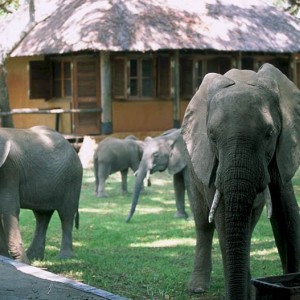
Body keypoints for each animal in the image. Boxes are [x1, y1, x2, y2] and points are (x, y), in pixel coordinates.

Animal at [0, 125, 82, 264]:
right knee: (42, 216)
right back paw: (35, 257)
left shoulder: (9, 170)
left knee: (66, 215)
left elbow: (8, 209)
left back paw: (63, 257)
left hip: (72, 178)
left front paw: (22, 263)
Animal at [180, 62, 300, 298]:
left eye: (269, 134)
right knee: (203, 222)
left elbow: (286, 213)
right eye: (212, 136)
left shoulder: (284, 148)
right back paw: (197, 287)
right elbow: (223, 217)